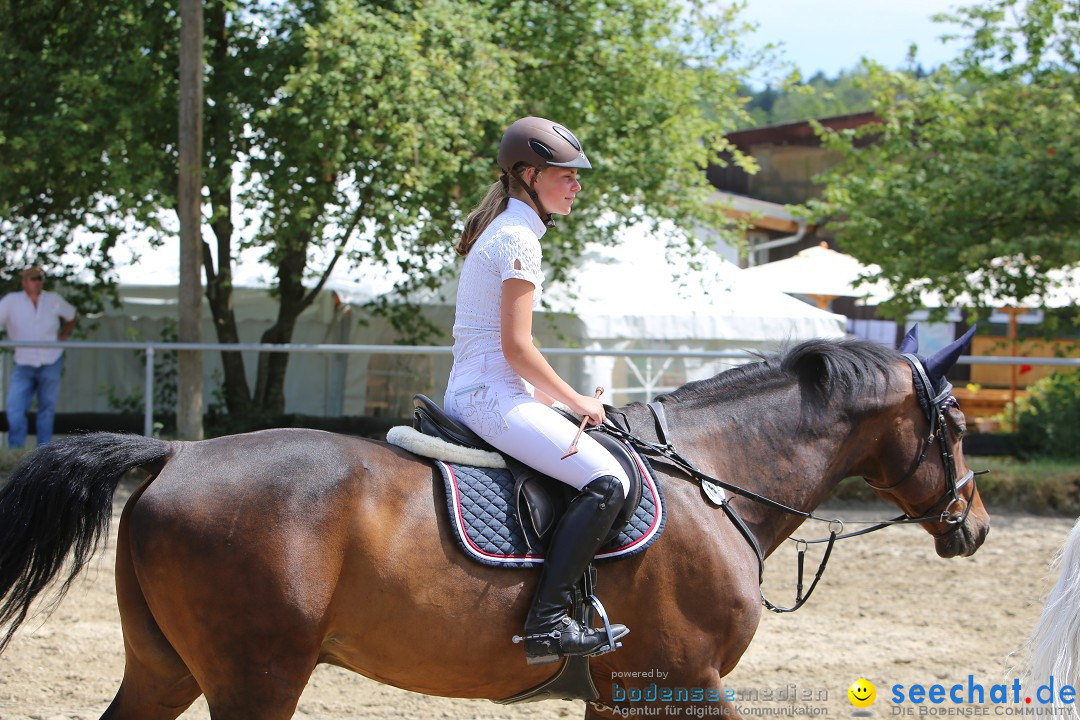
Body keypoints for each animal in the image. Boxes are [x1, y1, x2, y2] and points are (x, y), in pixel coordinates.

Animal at [0, 334, 989, 716]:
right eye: (955, 427)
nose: (973, 527)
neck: (715, 482)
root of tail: (175, 456)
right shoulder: (686, 680)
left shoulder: (621, 693)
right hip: (256, 679)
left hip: (165, 668)